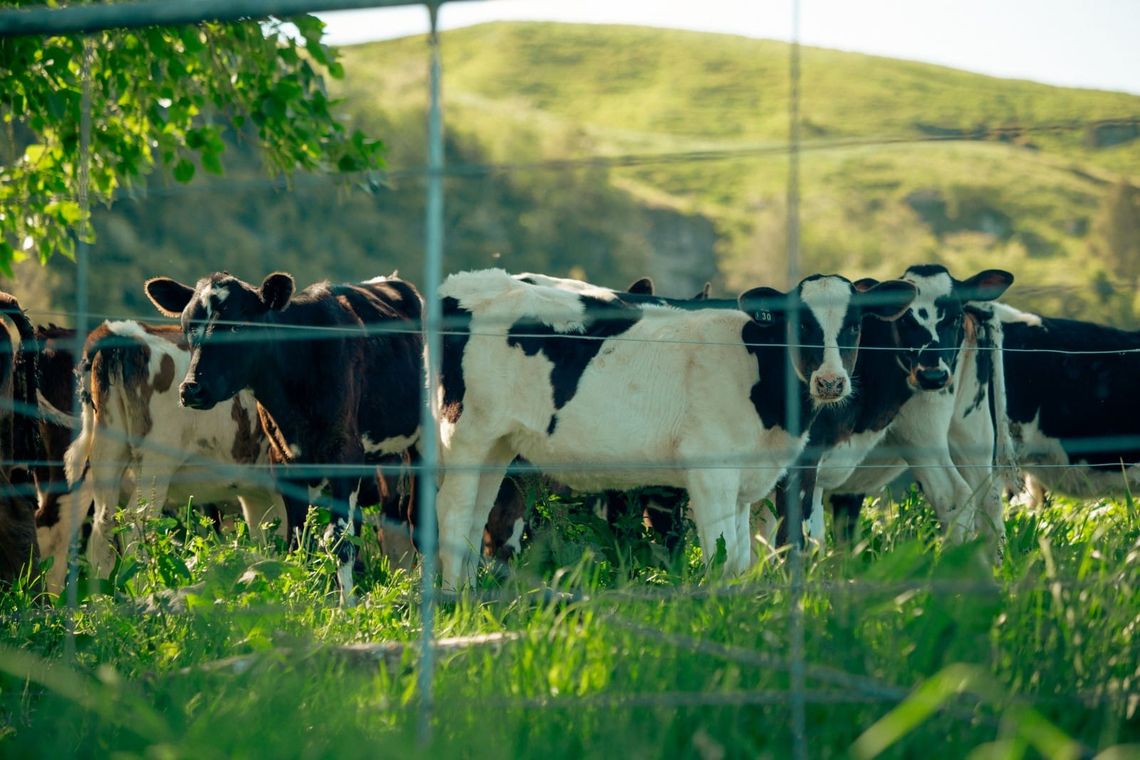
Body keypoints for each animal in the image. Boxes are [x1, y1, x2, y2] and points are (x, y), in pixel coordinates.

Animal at [144, 272, 424, 606]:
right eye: (187, 326)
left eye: (237, 326)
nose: (191, 389)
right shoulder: (286, 460)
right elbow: (299, 538)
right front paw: (303, 596)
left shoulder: (345, 453)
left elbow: (338, 539)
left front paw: (345, 606)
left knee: (416, 518)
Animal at [433, 268, 916, 588]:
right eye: (801, 325)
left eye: (854, 325)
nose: (830, 381)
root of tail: (469, 280)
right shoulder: (710, 472)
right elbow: (723, 557)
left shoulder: (745, 482)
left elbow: (740, 559)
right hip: (464, 435)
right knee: (454, 510)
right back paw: (455, 595)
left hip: (499, 444)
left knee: (479, 511)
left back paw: (472, 590)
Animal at [789, 265, 1013, 550]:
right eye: (905, 320)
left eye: (954, 318)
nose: (932, 375)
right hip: (971, 434)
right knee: (986, 500)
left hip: (925, 435)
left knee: (955, 493)